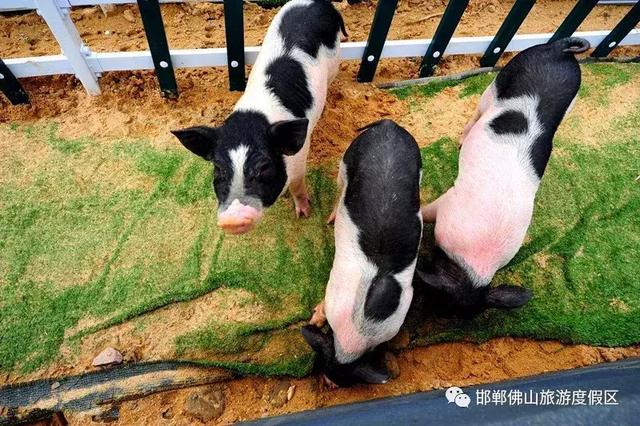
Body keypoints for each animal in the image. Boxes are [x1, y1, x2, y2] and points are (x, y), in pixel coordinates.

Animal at [172, 0, 348, 233]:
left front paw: (303, 214)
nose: (232, 219)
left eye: (264, 167)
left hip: (335, 58)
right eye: (219, 168)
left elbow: (297, 186)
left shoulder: (300, 159)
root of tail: (321, 3)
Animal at [302, 119, 422, 386]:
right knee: (341, 186)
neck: (359, 329)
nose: (330, 385)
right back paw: (331, 219)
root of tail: (389, 125)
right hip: (348, 159)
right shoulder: (334, 291)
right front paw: (313, 319)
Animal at [416, 37, 592, 320]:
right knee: (479, 111)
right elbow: (430, 210)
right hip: (500, 80)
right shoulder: (449, 203)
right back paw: (461, 141)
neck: (472, 263)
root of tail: (559, 49)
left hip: (571, 99)